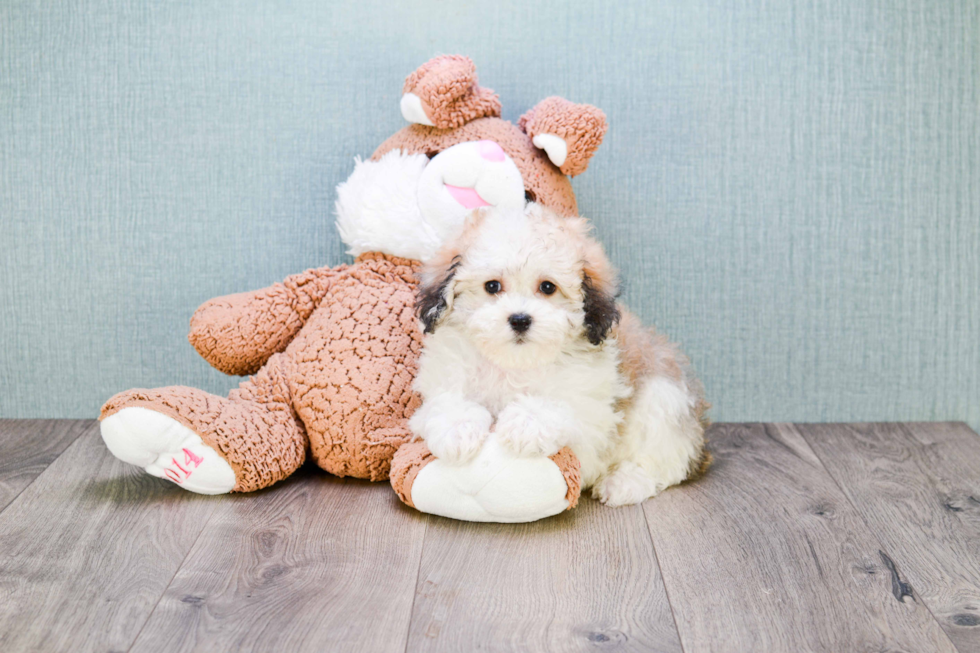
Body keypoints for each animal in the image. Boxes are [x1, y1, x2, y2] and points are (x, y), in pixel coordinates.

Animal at [410, 204, 708, 504]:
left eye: (548, 287)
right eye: (492, 286)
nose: (520, 319)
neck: (515, 363)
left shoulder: (592, 414)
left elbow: (562, 407)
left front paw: (526, 421)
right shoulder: (442, 381)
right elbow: (446, 403)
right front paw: (456, 429)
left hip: (663, 399)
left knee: (663, 462)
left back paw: (625, 482)